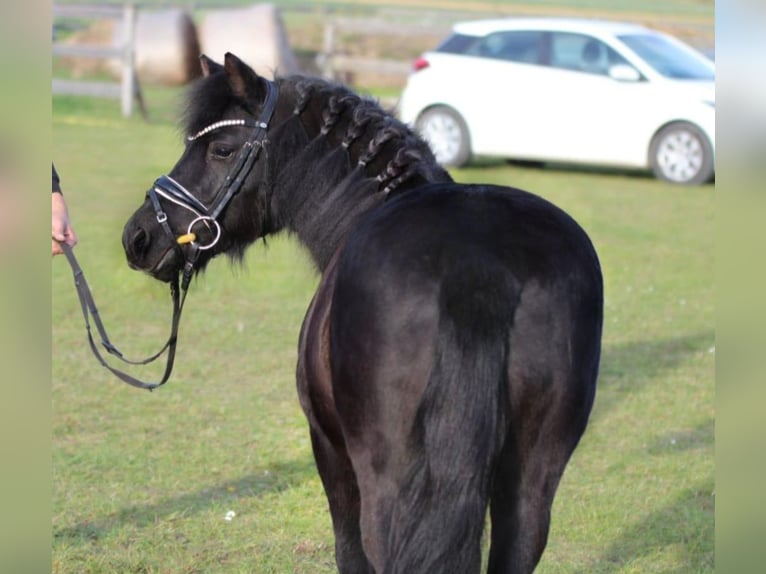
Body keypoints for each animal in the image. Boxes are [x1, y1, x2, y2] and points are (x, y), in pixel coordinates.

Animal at [122, 52, 603, 574]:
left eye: (222, 150)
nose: (139, 236)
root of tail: (478, 261)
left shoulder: (329, 448)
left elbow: (349, 549)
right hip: (532, 477)